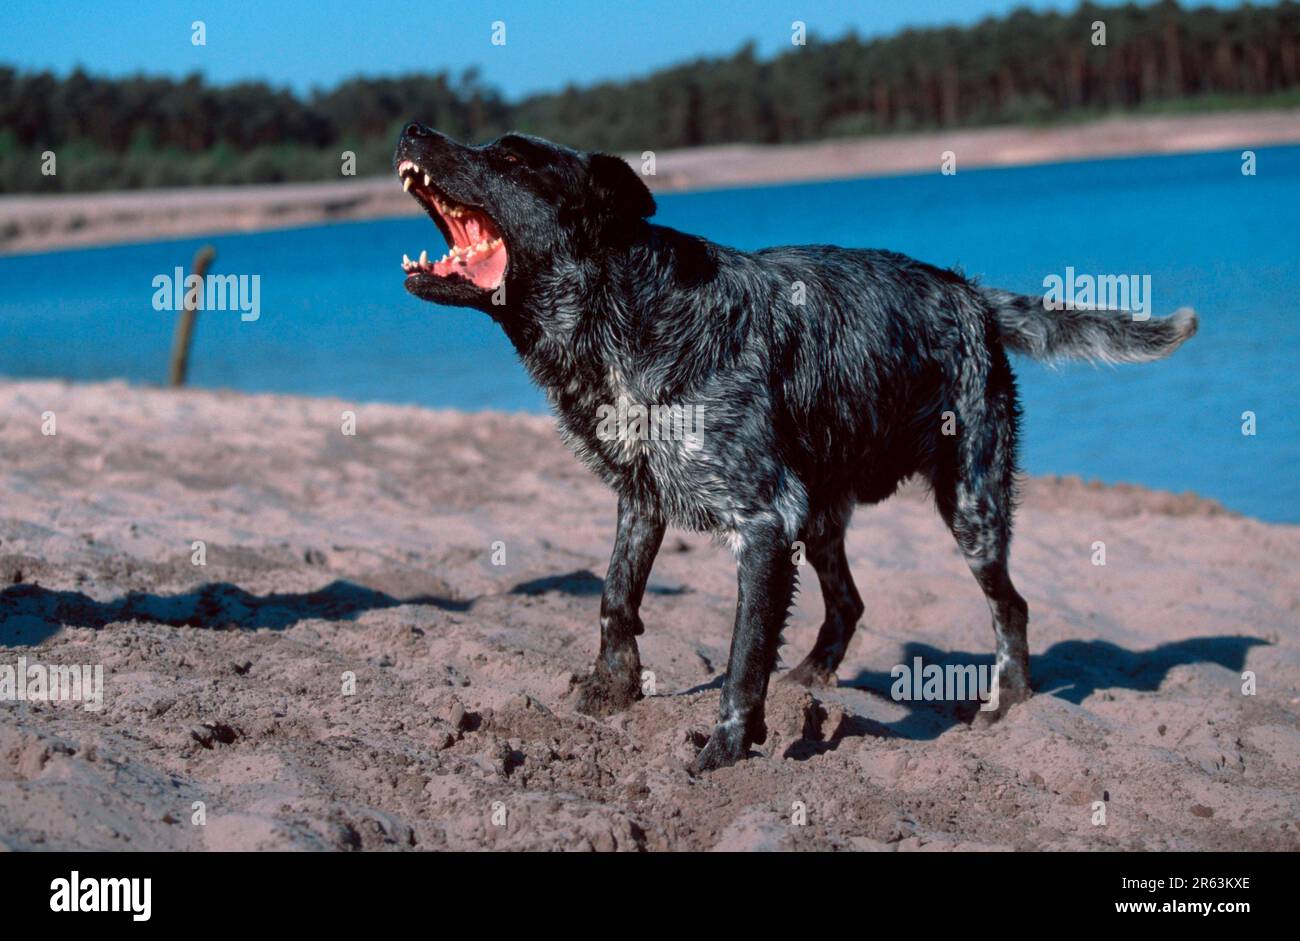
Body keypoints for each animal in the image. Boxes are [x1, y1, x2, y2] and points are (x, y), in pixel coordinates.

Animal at [387, 124, 1196, 769]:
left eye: (511, 157)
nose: (414, 127)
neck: (628, 314)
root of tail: (973, 294)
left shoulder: (763, 523)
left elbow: (742, 661)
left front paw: (726, 747)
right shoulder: (643, 500)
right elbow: (616, 598)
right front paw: (612, 691)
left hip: (970, 506)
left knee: (1013, 609)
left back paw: (1010, 704)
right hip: (829, 517)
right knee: (851, 603)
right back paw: (810, 678)